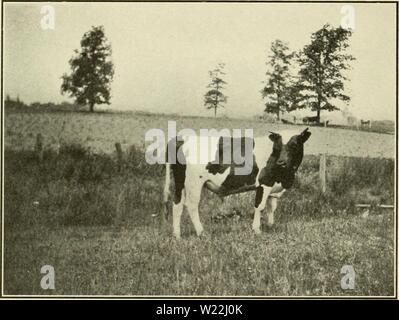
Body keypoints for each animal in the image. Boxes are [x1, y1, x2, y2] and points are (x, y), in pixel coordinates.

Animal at [162, 127, 312, 238]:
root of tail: (181, 139)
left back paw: (177, 235)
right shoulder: (264, 183)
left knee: (177, 204)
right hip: (194, 182)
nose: (282, 162)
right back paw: (201, 232)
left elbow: (271, 207)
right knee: (191, 205)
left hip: (180, 181)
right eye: (277, 147)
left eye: (294, 145)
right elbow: (260, 207)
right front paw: (257, 230)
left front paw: (271, 226)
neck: (285, 177)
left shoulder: (274, 187)